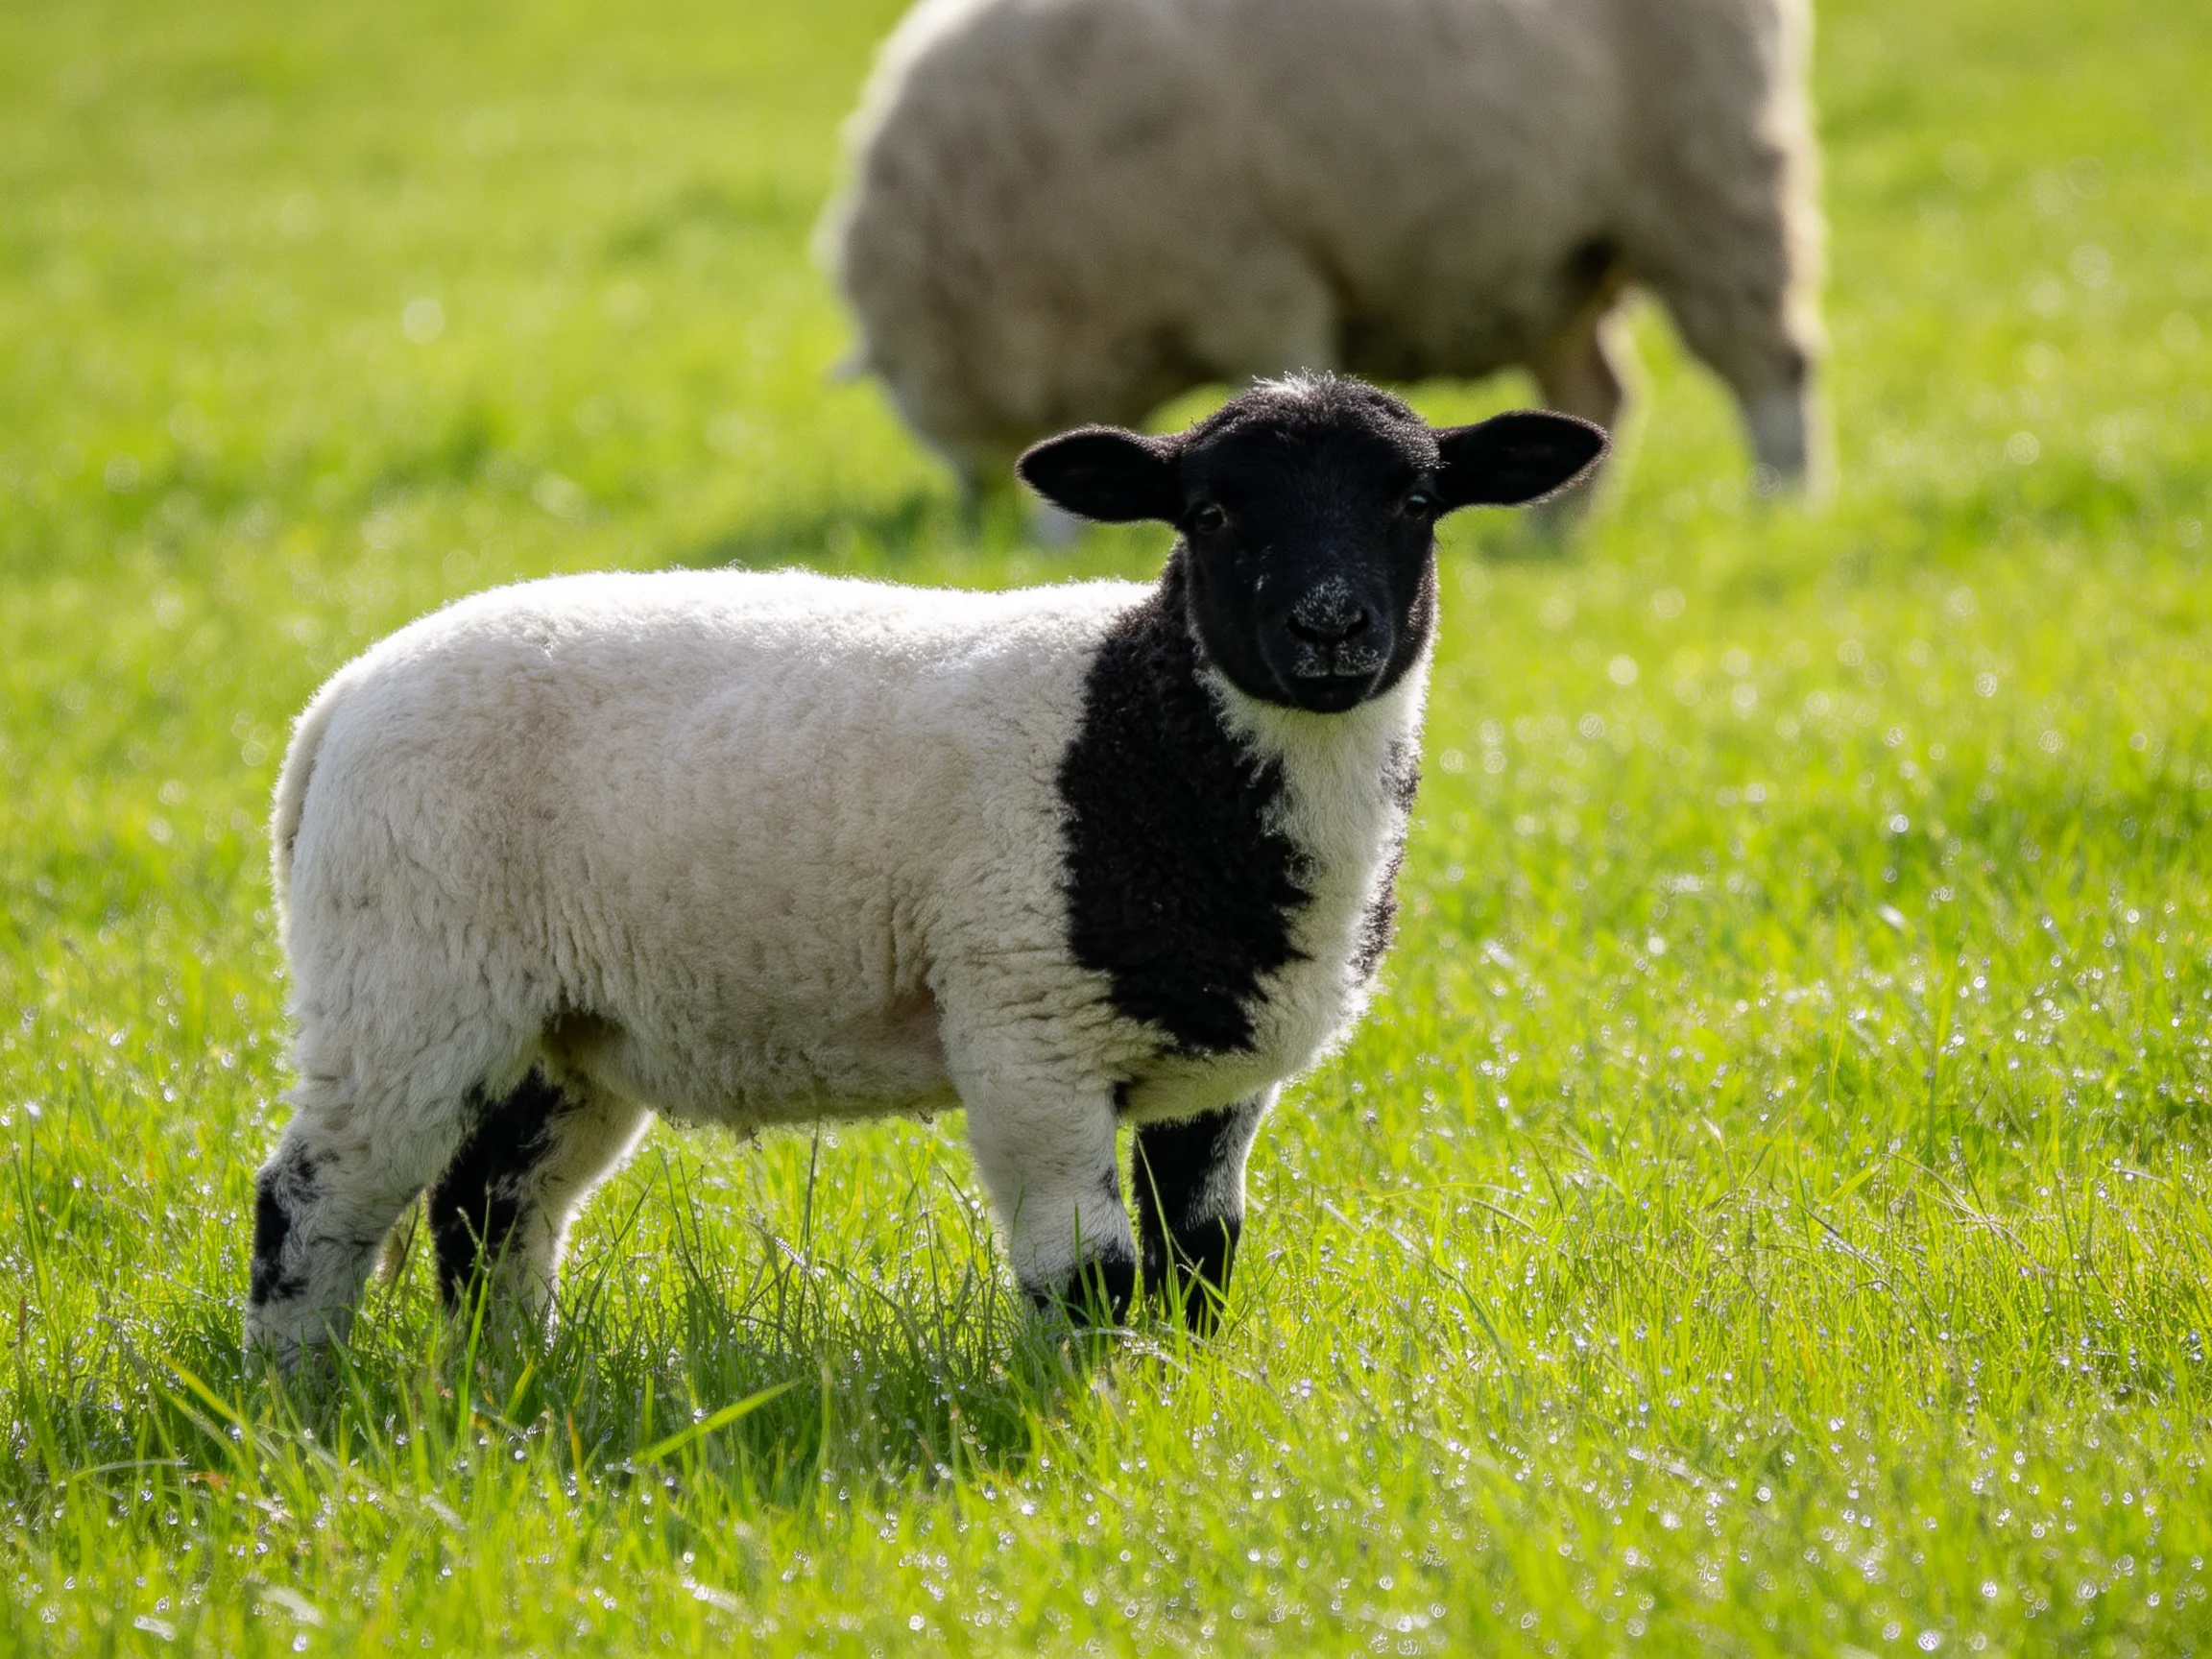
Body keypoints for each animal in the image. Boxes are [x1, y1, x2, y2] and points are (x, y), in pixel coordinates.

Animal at [244, 375, 1604, 1364]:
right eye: (1210, 514)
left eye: (1416, 502)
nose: (1329, 629)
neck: (1148, 738)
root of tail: (336, 703)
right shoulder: (1028, 1031)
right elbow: (1090, 1272)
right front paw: (1087, 1411)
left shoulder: (1224, 1067)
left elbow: (1201, 1256)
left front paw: (1183, 1394)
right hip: (404, 978)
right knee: (314, 1198)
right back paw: (294, 1398)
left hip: (559, 1026)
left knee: (492, 1209)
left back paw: (514, 1383)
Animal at [823, 0, 1822, 503]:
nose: (984, 531)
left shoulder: (1249, 273)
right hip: (1558, 258)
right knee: (1595, 398)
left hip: (1708, 180)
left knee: (1771, 364)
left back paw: (1782, 501)